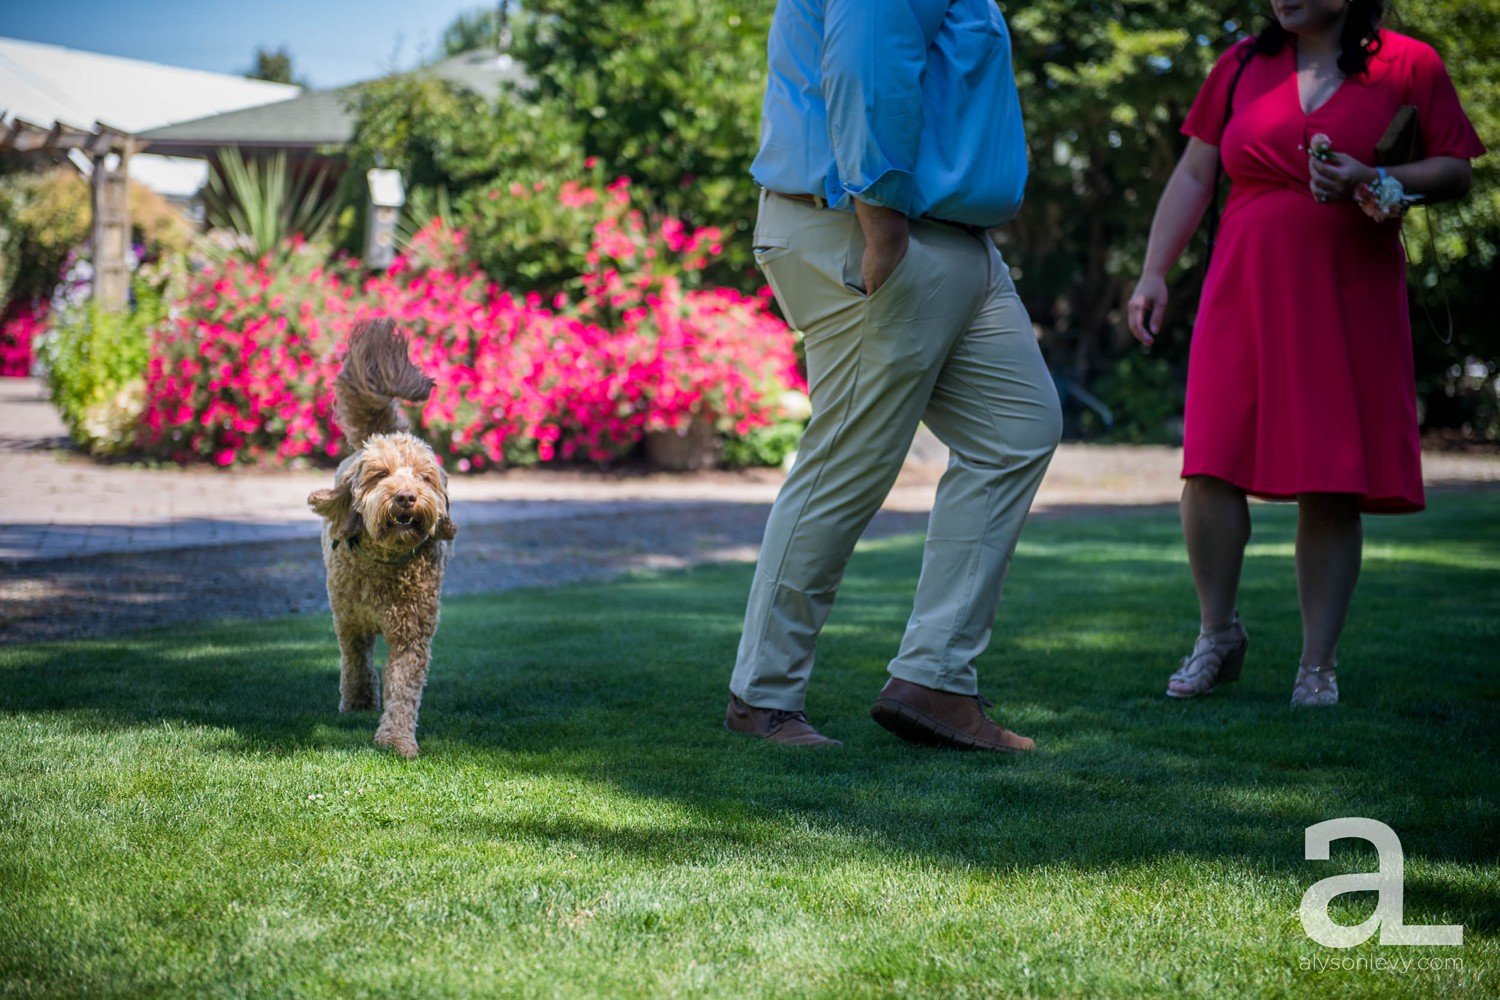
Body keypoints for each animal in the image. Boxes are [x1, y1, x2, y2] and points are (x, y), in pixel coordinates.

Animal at [309, 320, 456, 758]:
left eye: (425, 477)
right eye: (380, 475)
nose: (406, 496)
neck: (385, 561)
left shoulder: (412, 632)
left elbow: (403, 686)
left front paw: (396, 739)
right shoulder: (350, 621)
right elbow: (356, 658)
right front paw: (358, 699)